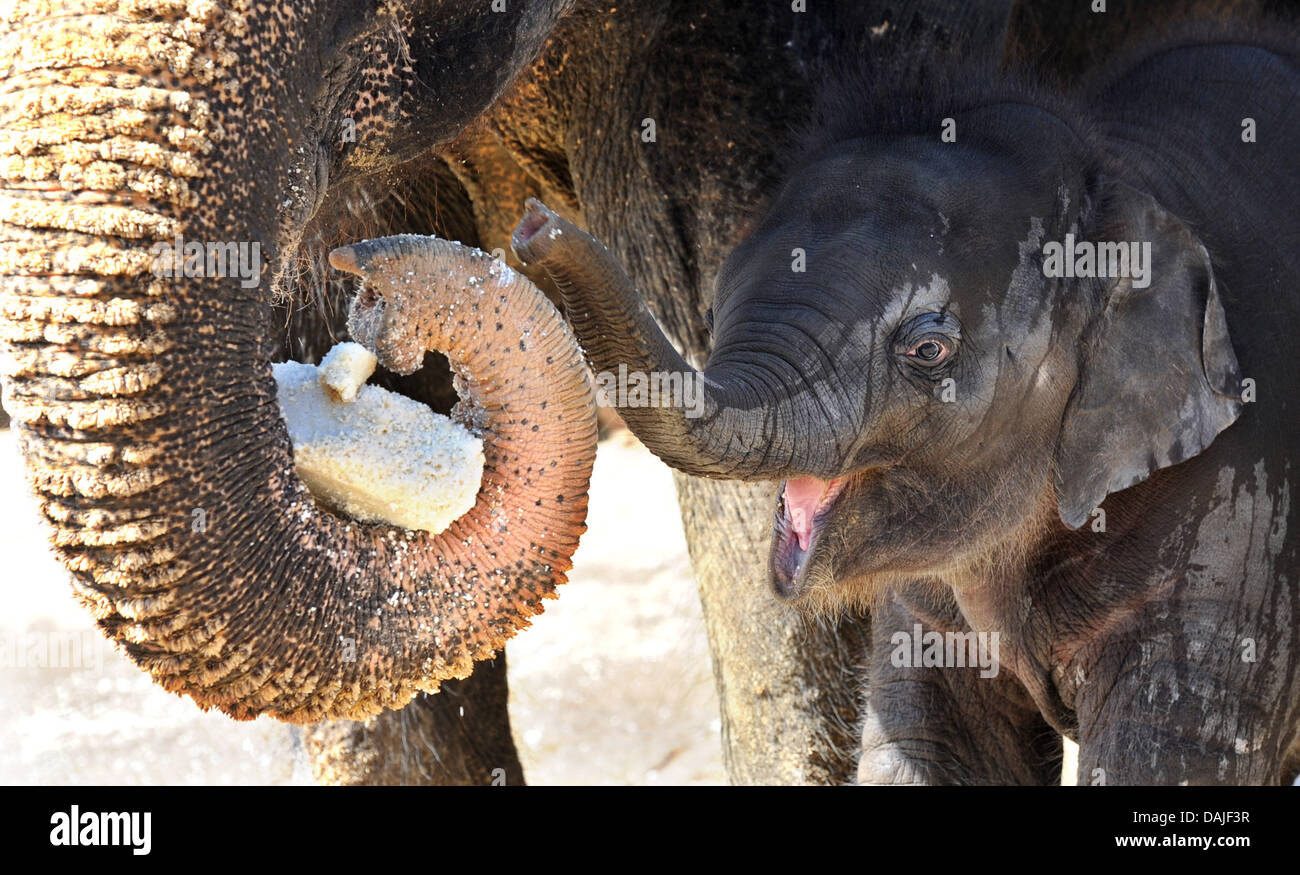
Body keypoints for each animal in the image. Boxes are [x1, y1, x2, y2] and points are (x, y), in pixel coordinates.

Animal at [517, 20, 1300, 780]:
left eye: (928, 350)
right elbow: (935, 749)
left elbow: (1166, 753)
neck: (1120, 177)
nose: (531, 224)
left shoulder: (1233, 535)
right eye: (710, 307)